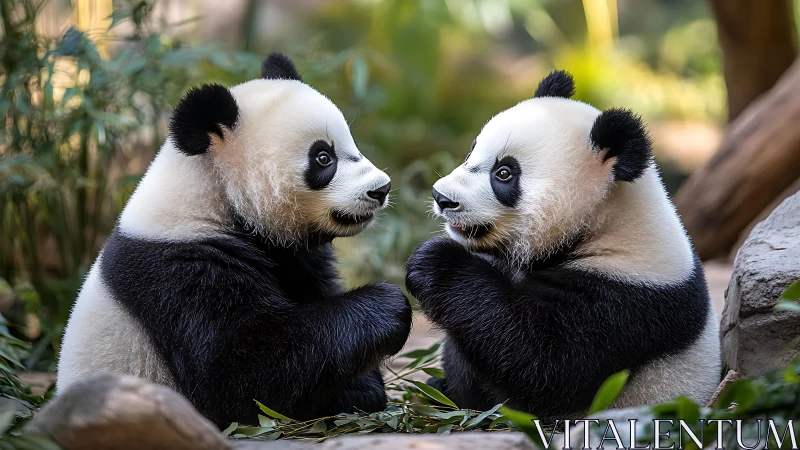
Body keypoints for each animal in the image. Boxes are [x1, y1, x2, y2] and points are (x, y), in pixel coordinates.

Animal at [57, 53, 412, 426]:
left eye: (350, 143)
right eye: (323, 157)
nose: (381, 189)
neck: (214, 195)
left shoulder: (292, 254)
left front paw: (361, 386)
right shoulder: (179, 274)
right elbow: (240, 373)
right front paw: (387, 306)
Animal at [405, 71, 720, 418]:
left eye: (504, 173)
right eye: (470, 153)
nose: (441, 197)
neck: (603, 223)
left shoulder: (630, 301)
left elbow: (543, 361)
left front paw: (434, 262)